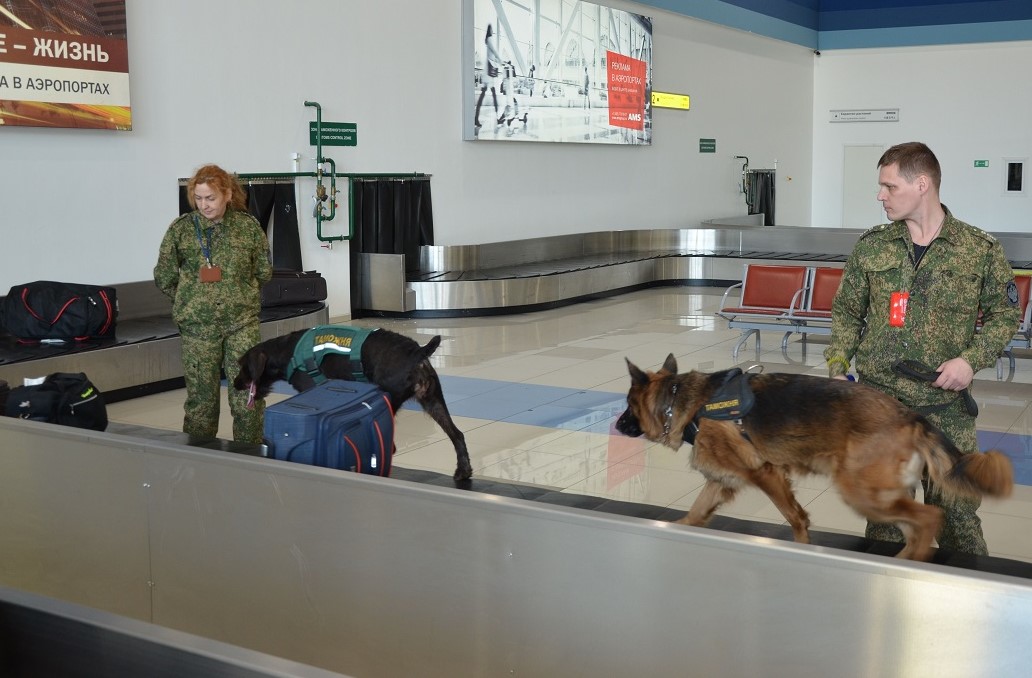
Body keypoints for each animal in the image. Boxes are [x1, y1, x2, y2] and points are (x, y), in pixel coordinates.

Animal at [234, 324, 472, 478]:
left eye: (242, 365)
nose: (235, 383)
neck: (286, 351)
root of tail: (416, 352)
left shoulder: (310, 389)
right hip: (434, 401)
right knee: (457, 434)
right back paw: (463, 471)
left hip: (389, 400)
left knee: (391, 444)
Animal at [610, 354, 1015, 561]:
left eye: (627, 405)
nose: (615, 425)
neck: (684, 401)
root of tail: (908, 414)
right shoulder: (719, 482)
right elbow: (692, 516)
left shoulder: (766, 473)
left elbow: (796, 519)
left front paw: (803, 548)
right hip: (882, 495)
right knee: (917, 527)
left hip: (862, 493)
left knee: (931, 518)